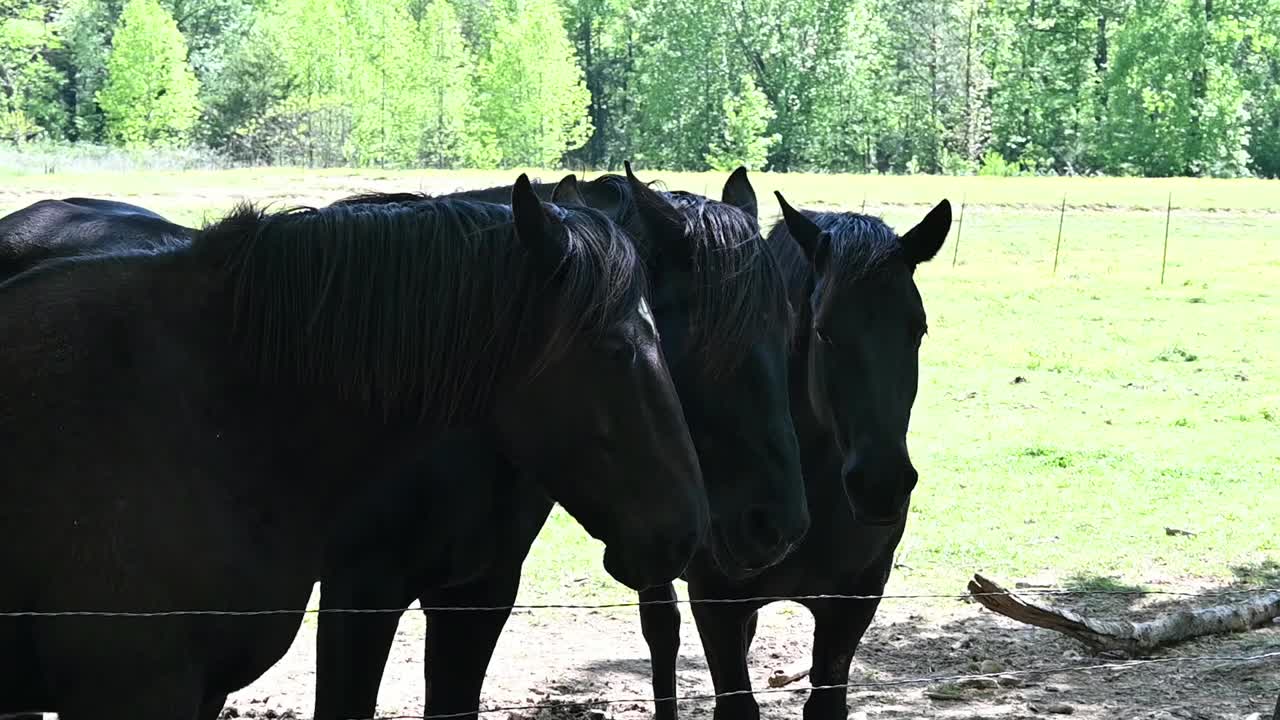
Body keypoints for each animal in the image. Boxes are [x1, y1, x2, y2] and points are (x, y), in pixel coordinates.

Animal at [640, 193, 952, 717]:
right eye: (824, 331)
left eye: (919, 329)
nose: (881, 485)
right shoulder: (715, 601)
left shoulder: (854, 600)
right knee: (661, 634)